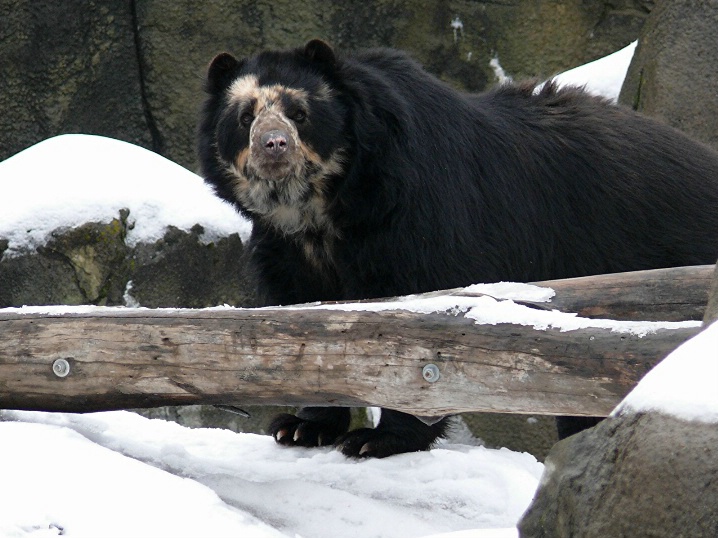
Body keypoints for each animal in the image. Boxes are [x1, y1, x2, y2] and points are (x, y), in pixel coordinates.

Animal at [200, 38, 718, 456]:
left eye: (300, 113)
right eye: (245, 116)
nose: (273, 146)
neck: (322, 208)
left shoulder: (419, 215)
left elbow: (421, 328)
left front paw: (378, 440)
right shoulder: (287, 251)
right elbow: (301, 321)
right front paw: (301, 427)